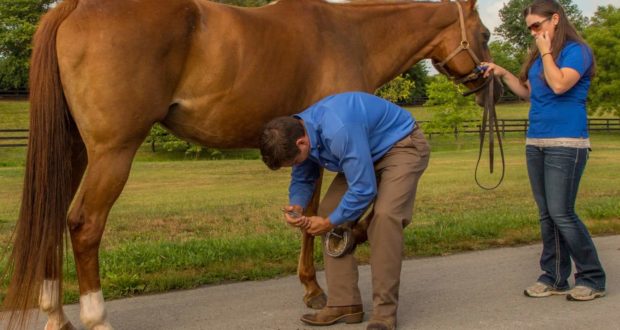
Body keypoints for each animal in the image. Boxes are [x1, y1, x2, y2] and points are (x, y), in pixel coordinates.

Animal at [1, 0, 504, 330]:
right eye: (485, 35)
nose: (493, 88)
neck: (350, 34)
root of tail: (73, 7)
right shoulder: (326, 150)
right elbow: (322, 214)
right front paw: (318, 284)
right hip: (112, 151)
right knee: (84, 223)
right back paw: (95, 317)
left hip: (73, 149)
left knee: (51, 217)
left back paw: (56, 315)